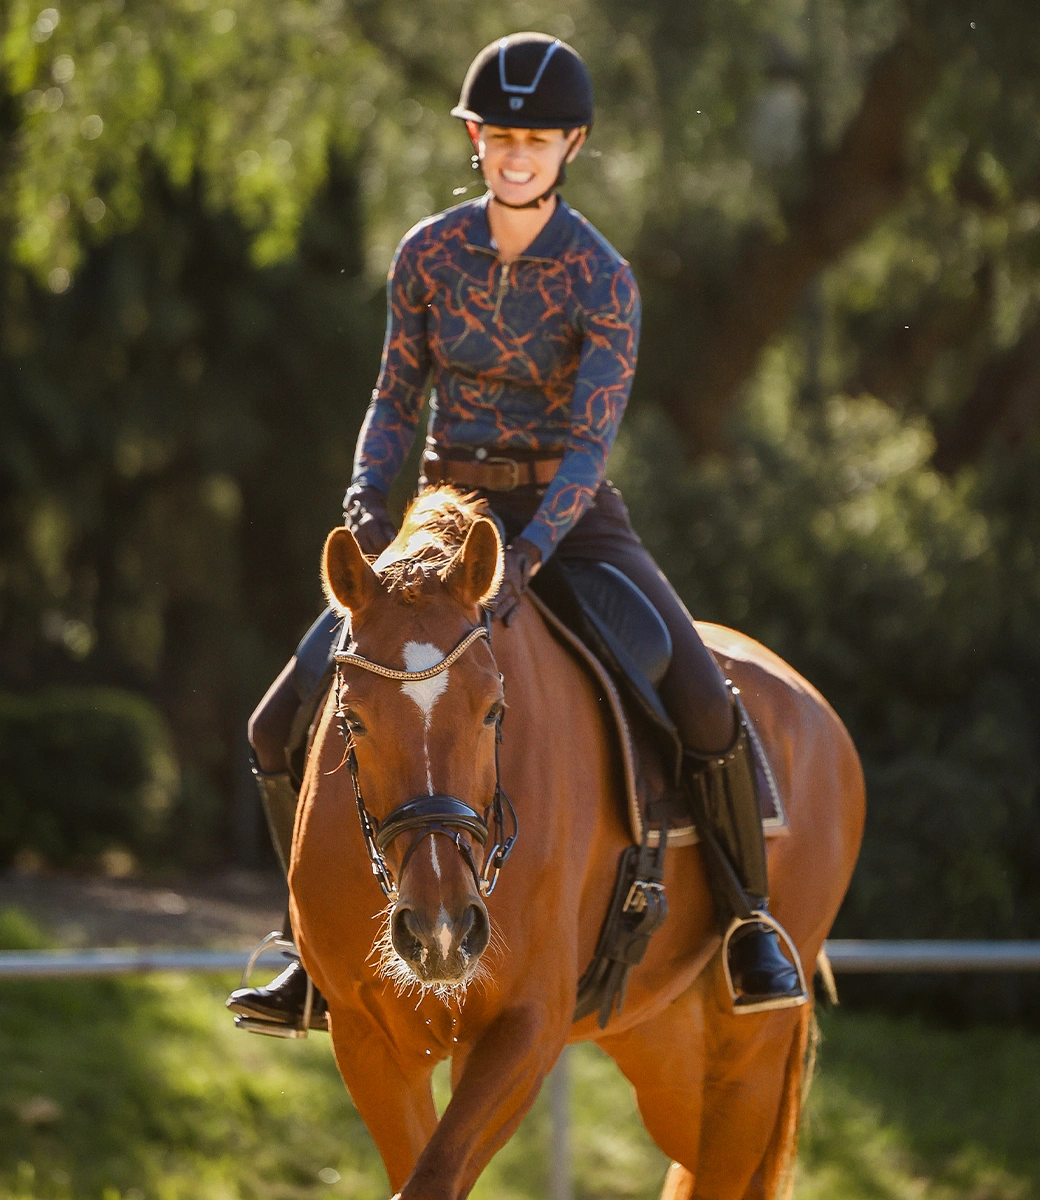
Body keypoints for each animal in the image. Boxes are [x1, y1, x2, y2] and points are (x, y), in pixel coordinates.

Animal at [289, 488, 865, 1200]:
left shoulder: (527, 1029)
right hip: (670, 1055)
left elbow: (435, 1176)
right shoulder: (365, 1039)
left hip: (747, 1061)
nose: (441, 931)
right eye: (352, 718)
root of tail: (821, 715)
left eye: (494, 709)